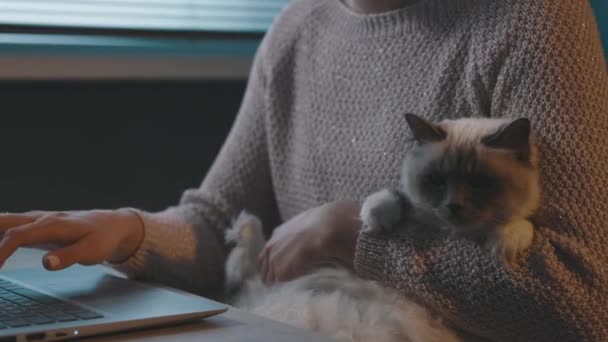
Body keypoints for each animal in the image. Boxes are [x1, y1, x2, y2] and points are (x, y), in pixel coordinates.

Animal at [226, 114, 540, 342]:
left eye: (479, 183)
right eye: (436, 181)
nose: (453, 206)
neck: (447, 233)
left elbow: (520, 225)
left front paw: (506, 243)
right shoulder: (409, 201)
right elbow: (393, 197)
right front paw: (376, 218)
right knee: (246, 258)